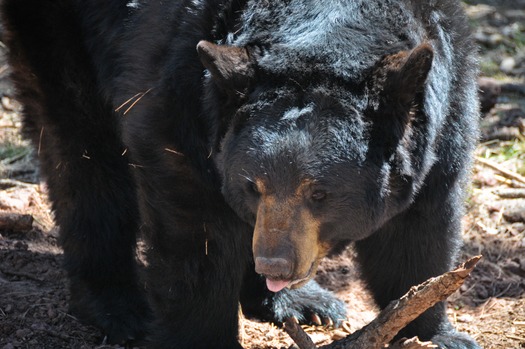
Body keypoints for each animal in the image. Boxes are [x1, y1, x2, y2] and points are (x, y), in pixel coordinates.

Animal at [1, 0, 478, 346]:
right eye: (253, 185)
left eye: (319, 193)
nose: (275, 262)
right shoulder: (181, 95)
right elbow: (196, 235)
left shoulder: (444, 104)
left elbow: (419, 230)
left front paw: (434, 331)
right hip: (59, 30)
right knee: (82, 149)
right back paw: (118, 307)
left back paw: (301, 301)